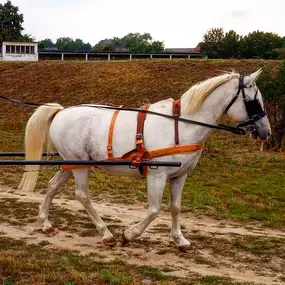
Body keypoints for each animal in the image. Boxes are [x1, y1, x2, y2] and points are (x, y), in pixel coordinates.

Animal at [16, 69, 270, 251]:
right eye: (254, 101)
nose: (265, 131)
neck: (182, 125)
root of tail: (61, 111)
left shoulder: (180, 175)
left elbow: (175, 207)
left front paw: (180, 240)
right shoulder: (157, 174)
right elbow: (154, 210)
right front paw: (129, 235)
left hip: (70, 163)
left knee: (52, 187)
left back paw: (45, 224)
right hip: (80, 165)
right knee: (82, 195)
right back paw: (106, 233)